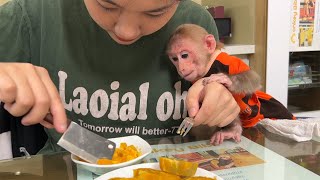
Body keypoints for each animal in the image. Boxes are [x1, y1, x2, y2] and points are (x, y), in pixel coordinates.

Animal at [168, 23, 296, 145]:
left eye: (184, 55)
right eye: (175, 59)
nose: (181, 68)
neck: (210, 64)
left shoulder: (228, 61)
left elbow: (253, 77)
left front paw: (225, 78)